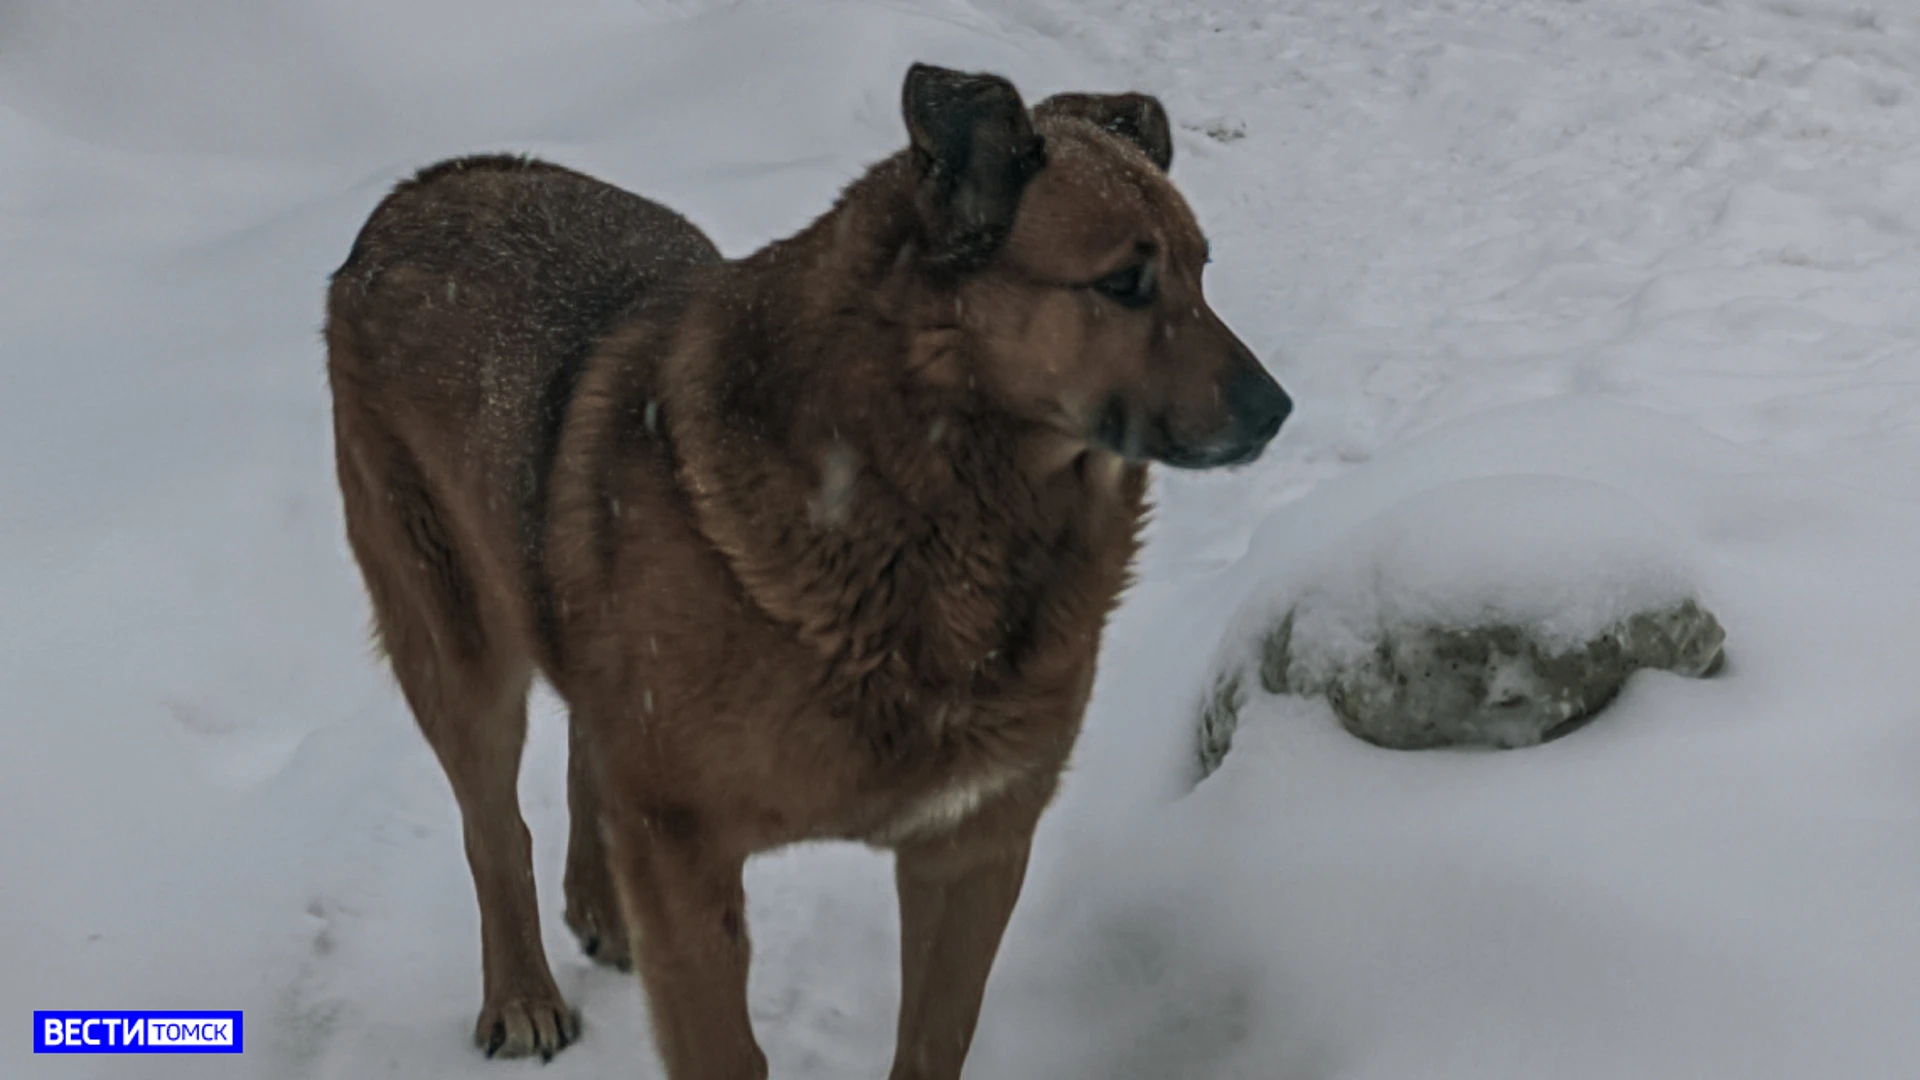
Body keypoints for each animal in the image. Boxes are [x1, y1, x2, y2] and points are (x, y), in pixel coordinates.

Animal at [326, 62, 1290, 1068]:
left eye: (1202, 270)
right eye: (1125, 283)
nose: (1278, 411)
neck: (933, 512)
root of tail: (428, 184)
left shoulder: (974, 844)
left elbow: (932, 1042)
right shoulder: (686, 849)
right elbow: (723, 1049)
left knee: (586, 740)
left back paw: (602, 905)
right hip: (454, 644)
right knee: (493, 826)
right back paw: (520, 991)